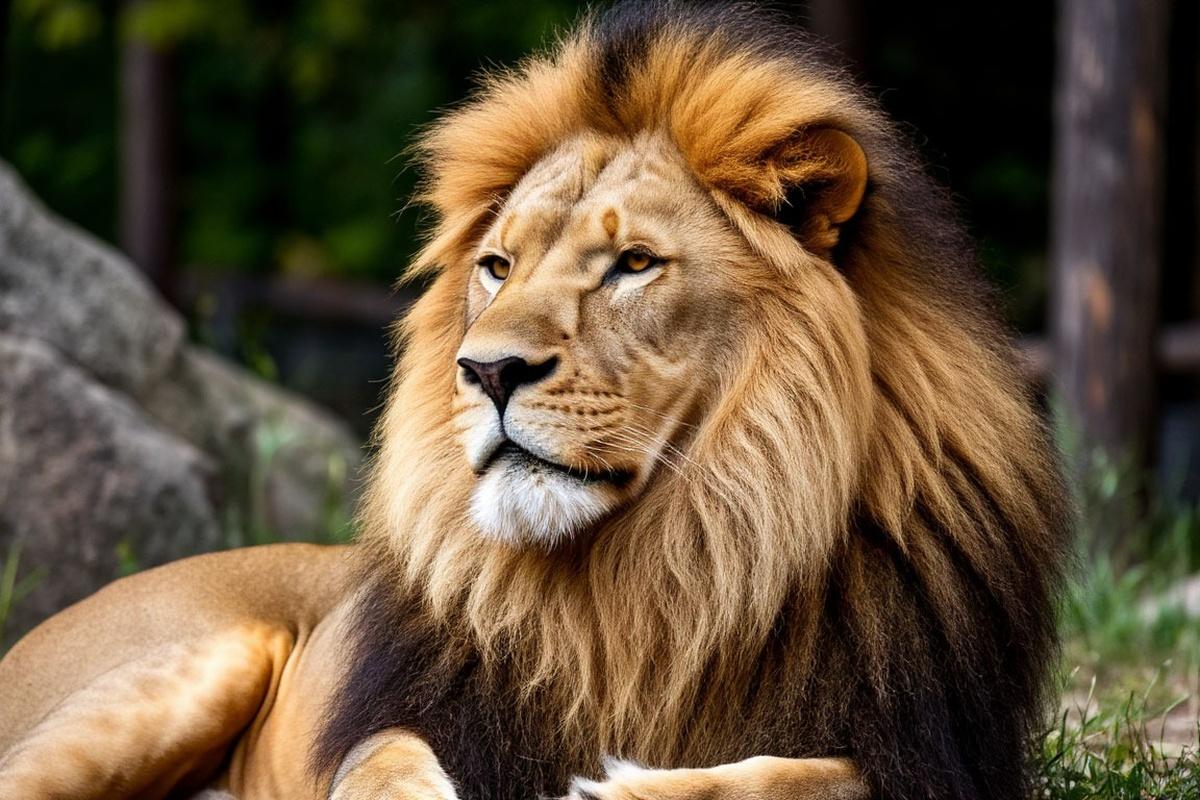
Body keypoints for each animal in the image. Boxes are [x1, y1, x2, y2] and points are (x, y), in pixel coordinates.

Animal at [0, 3, 1069, 799]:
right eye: (498, 267)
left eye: (633, 263)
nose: (486, 371)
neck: (666, 572)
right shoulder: (412, 716)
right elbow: (380, 762)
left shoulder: (936, 754)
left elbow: (813, 776)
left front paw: (623, 788)